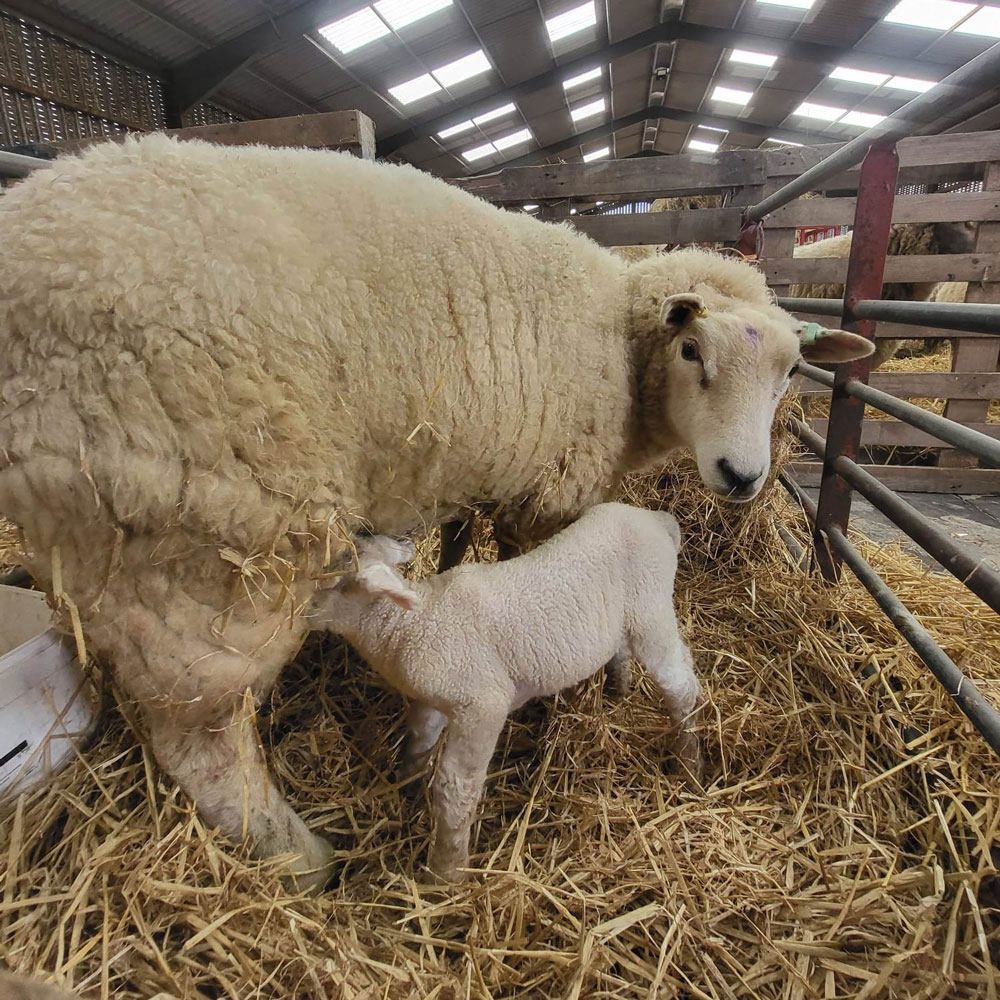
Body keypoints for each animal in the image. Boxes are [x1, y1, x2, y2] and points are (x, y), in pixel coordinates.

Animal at [314, 504, 704, 880]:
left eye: (326, 583)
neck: (413, 622)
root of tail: (658, 520)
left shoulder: (483, 704)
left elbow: (456, 787)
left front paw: (446, 871)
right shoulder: (433, 698)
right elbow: (420, 739)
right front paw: (407, 786)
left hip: (651, 610)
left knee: (681, 683)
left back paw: (689, 763)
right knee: (624, 653)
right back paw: (618, 690)